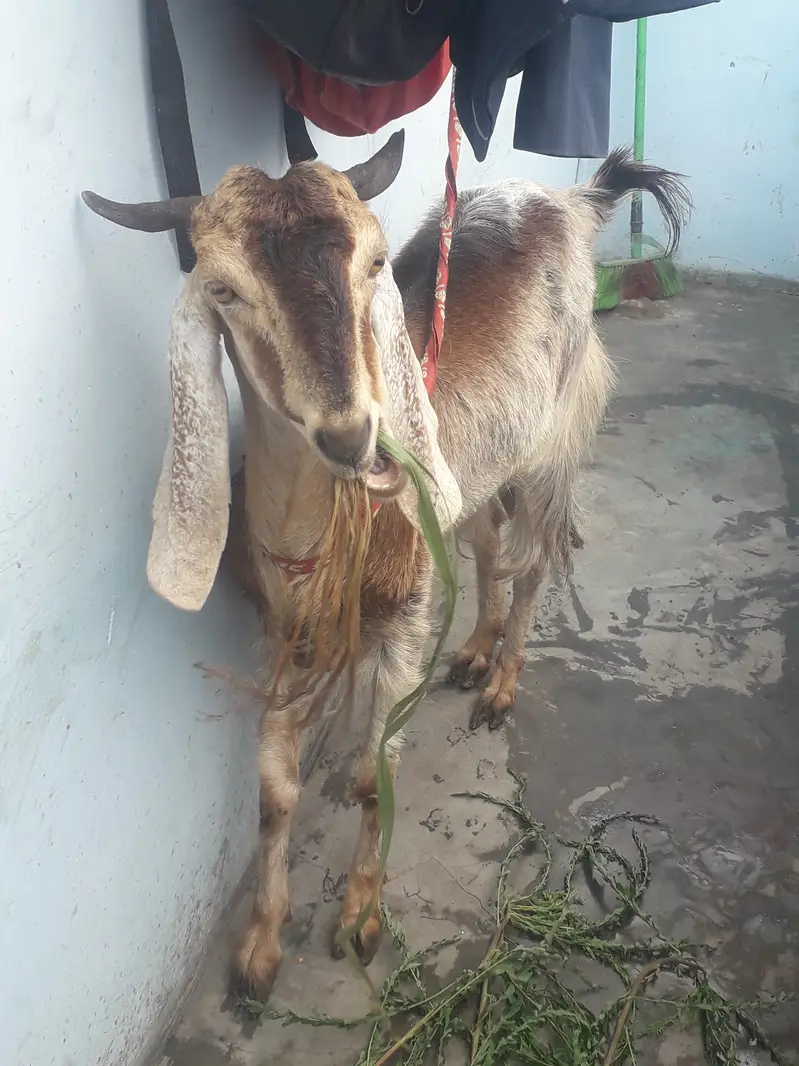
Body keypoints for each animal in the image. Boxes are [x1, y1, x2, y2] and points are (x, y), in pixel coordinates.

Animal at [82, 136, 689, 998]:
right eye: (223, 289)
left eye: (374, 261)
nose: (351, 434)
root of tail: (571, 201)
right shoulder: (283, 632)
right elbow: (274, 792)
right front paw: (260, 950)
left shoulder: (403, 619)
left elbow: (373, 774)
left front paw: (361, 918)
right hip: (472, 475)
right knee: (487, 543)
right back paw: (473, 652)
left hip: (554, 434)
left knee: (534, 562)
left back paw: (501, 683)